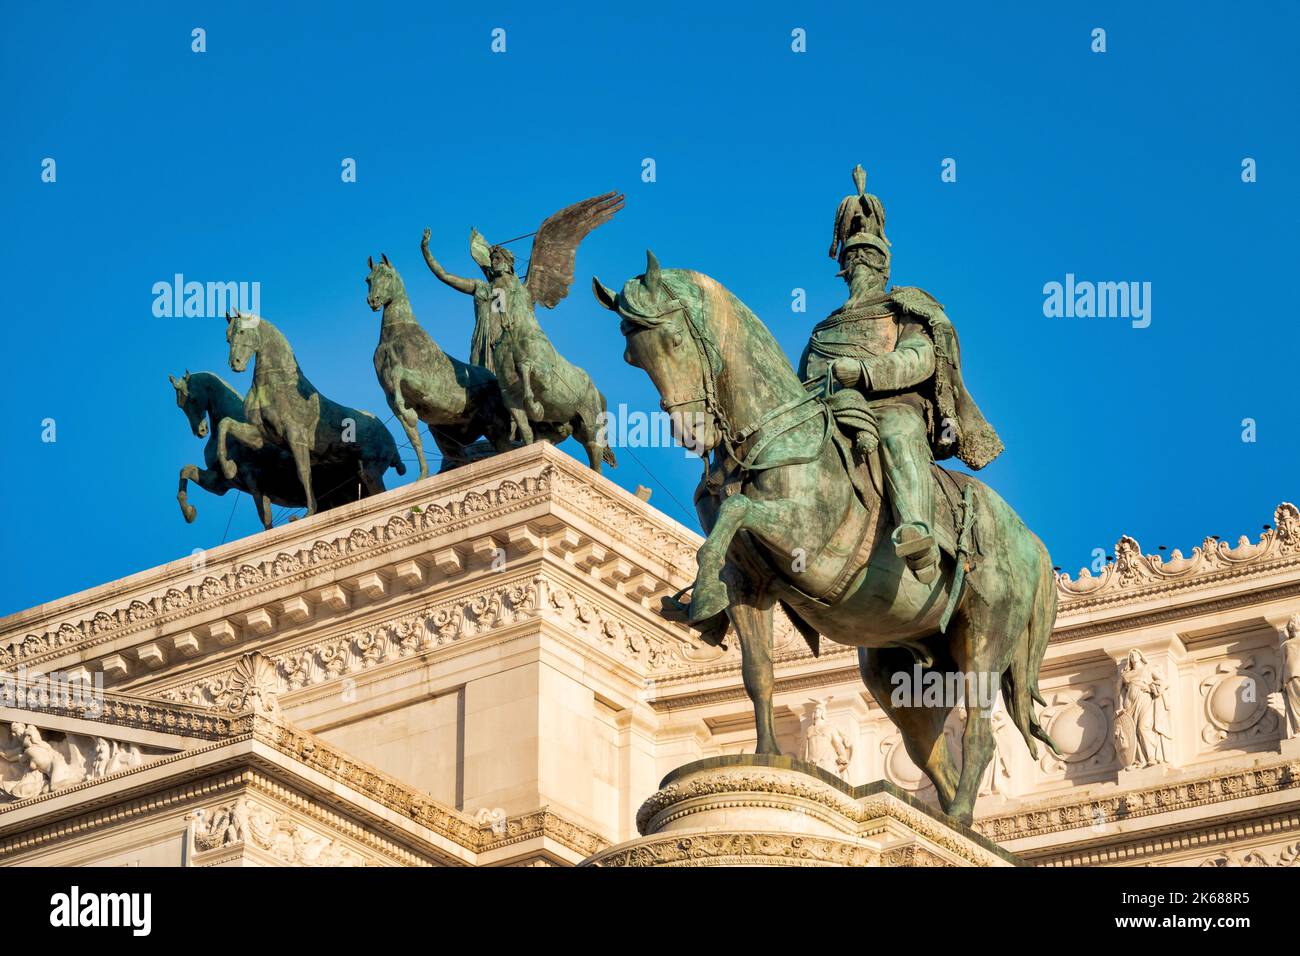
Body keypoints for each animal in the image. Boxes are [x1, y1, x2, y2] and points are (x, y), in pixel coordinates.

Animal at [170, 369, 361, 530]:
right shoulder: (221, 483)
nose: (200, 431)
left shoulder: (251, 477)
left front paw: (229, 466)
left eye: (192, 399)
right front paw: (189, 512)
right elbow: (186, 470)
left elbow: (264, 516)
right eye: (180, 406)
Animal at [595, 254, 1060, 822]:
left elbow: (737, 510)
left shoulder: (807, 540)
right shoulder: (749, 584)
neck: (767, 437)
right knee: (931, 752)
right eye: (631, 354)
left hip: (987, 636)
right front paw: (767, 753)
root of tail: (1031, 541)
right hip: (904, 672)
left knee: (979, 734)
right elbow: (758, 672)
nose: (691, 432)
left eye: (676, 339)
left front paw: (702, 593)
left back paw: (960, 819)